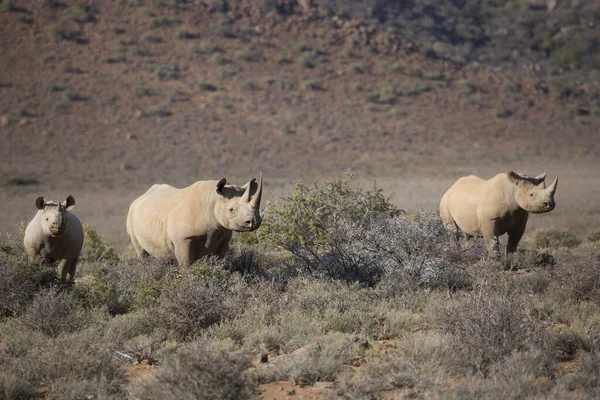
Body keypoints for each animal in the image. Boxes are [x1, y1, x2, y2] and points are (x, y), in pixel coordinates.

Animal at [126, 173, 262, 264]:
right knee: (141, 251)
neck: (212, 200)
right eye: (231, 209)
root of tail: (140, 197)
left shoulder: (223, 235)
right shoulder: (183, 239)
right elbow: (186, 264)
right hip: (131, 214)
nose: (253, 222)